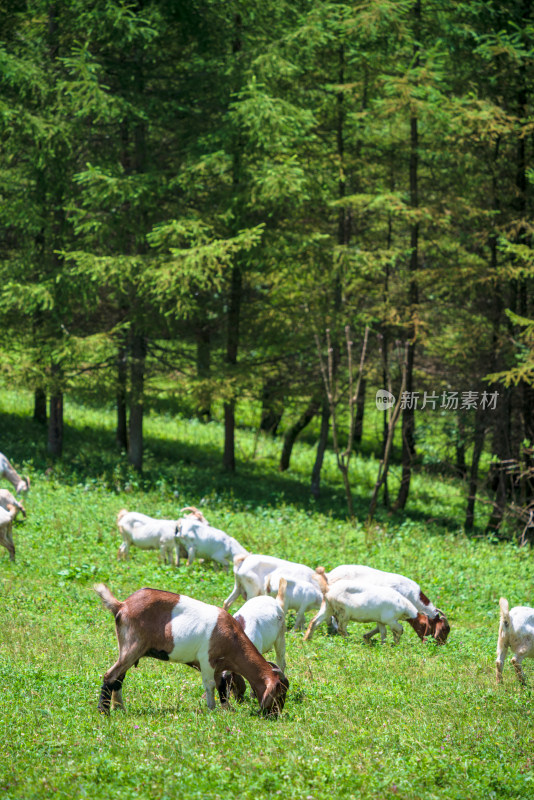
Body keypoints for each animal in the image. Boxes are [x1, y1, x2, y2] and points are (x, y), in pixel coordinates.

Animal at [94, 580, 292, 712]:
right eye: (279, 694)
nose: (275, 714)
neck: (232, 636)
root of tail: (122, 606)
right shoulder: (207, 660)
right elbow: (210, 684)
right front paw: (212, 709)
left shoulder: (219, 666)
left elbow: (222, 684)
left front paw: (226, 709)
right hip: (132, 647)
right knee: (111, 675)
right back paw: (104, 712)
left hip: (128, 650)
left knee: (119, 678)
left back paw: (120, 708)